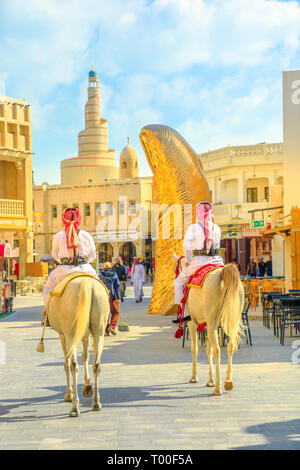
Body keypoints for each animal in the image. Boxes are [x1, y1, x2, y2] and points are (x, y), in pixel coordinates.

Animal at [45, 278, 109, 416]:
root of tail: (86, 282)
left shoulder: (63, 335)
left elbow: (66, 363)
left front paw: (69, 394)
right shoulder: (85, 334)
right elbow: (85, 356)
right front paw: (87, 384)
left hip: (71, 332)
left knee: (73, 365)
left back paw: (74, 406)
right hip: (99, 329)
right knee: (96, 364)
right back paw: (96, 402)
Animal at [173, 255, 244, 394]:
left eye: (176, 270)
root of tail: (222, 272)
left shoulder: (193, 323)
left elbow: (195, 348)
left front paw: (194, 377)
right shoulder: (209, 325)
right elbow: (207, 349)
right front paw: (210, 380)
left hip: (212, 322)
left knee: (217, 350)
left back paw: (218, 388)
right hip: (230, 321)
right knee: (230, 346)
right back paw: (228, 381)